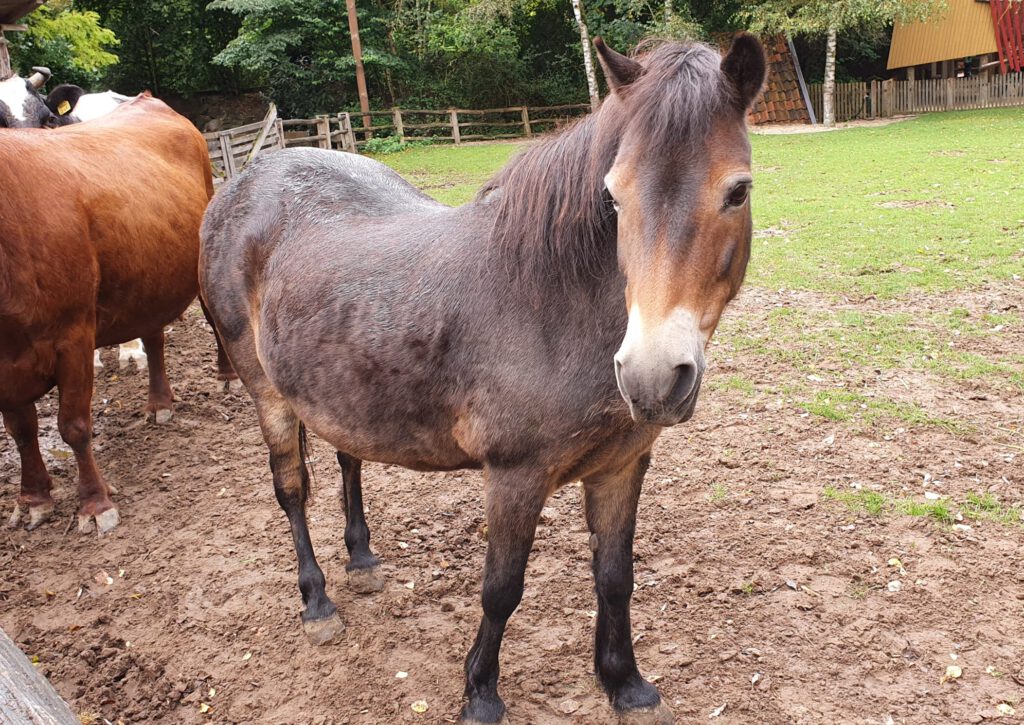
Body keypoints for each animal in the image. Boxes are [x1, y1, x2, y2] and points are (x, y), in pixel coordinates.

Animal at [2, 93, 234, 528]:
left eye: (45, 117)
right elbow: (21, 430)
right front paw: (33, 497)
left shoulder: (73, 334)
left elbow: (73, 426)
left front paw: (95, 503)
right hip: (150, 278)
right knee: (154, 337)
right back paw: (160, 403)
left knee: (214, 318)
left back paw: (227, 375)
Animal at [197, 36, 761, 724]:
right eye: (614, 197)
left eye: (737, 192)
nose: (652, 377)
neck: (551, 304)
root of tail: (239, 187)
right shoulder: (515, 476)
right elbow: (501, 589)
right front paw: (481, 693)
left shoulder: (622, 466)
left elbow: (614, 577)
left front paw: (625, 684)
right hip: (269, 394)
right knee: (292, 492)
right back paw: (318, 602)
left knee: (347, 460)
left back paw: (361, 559)